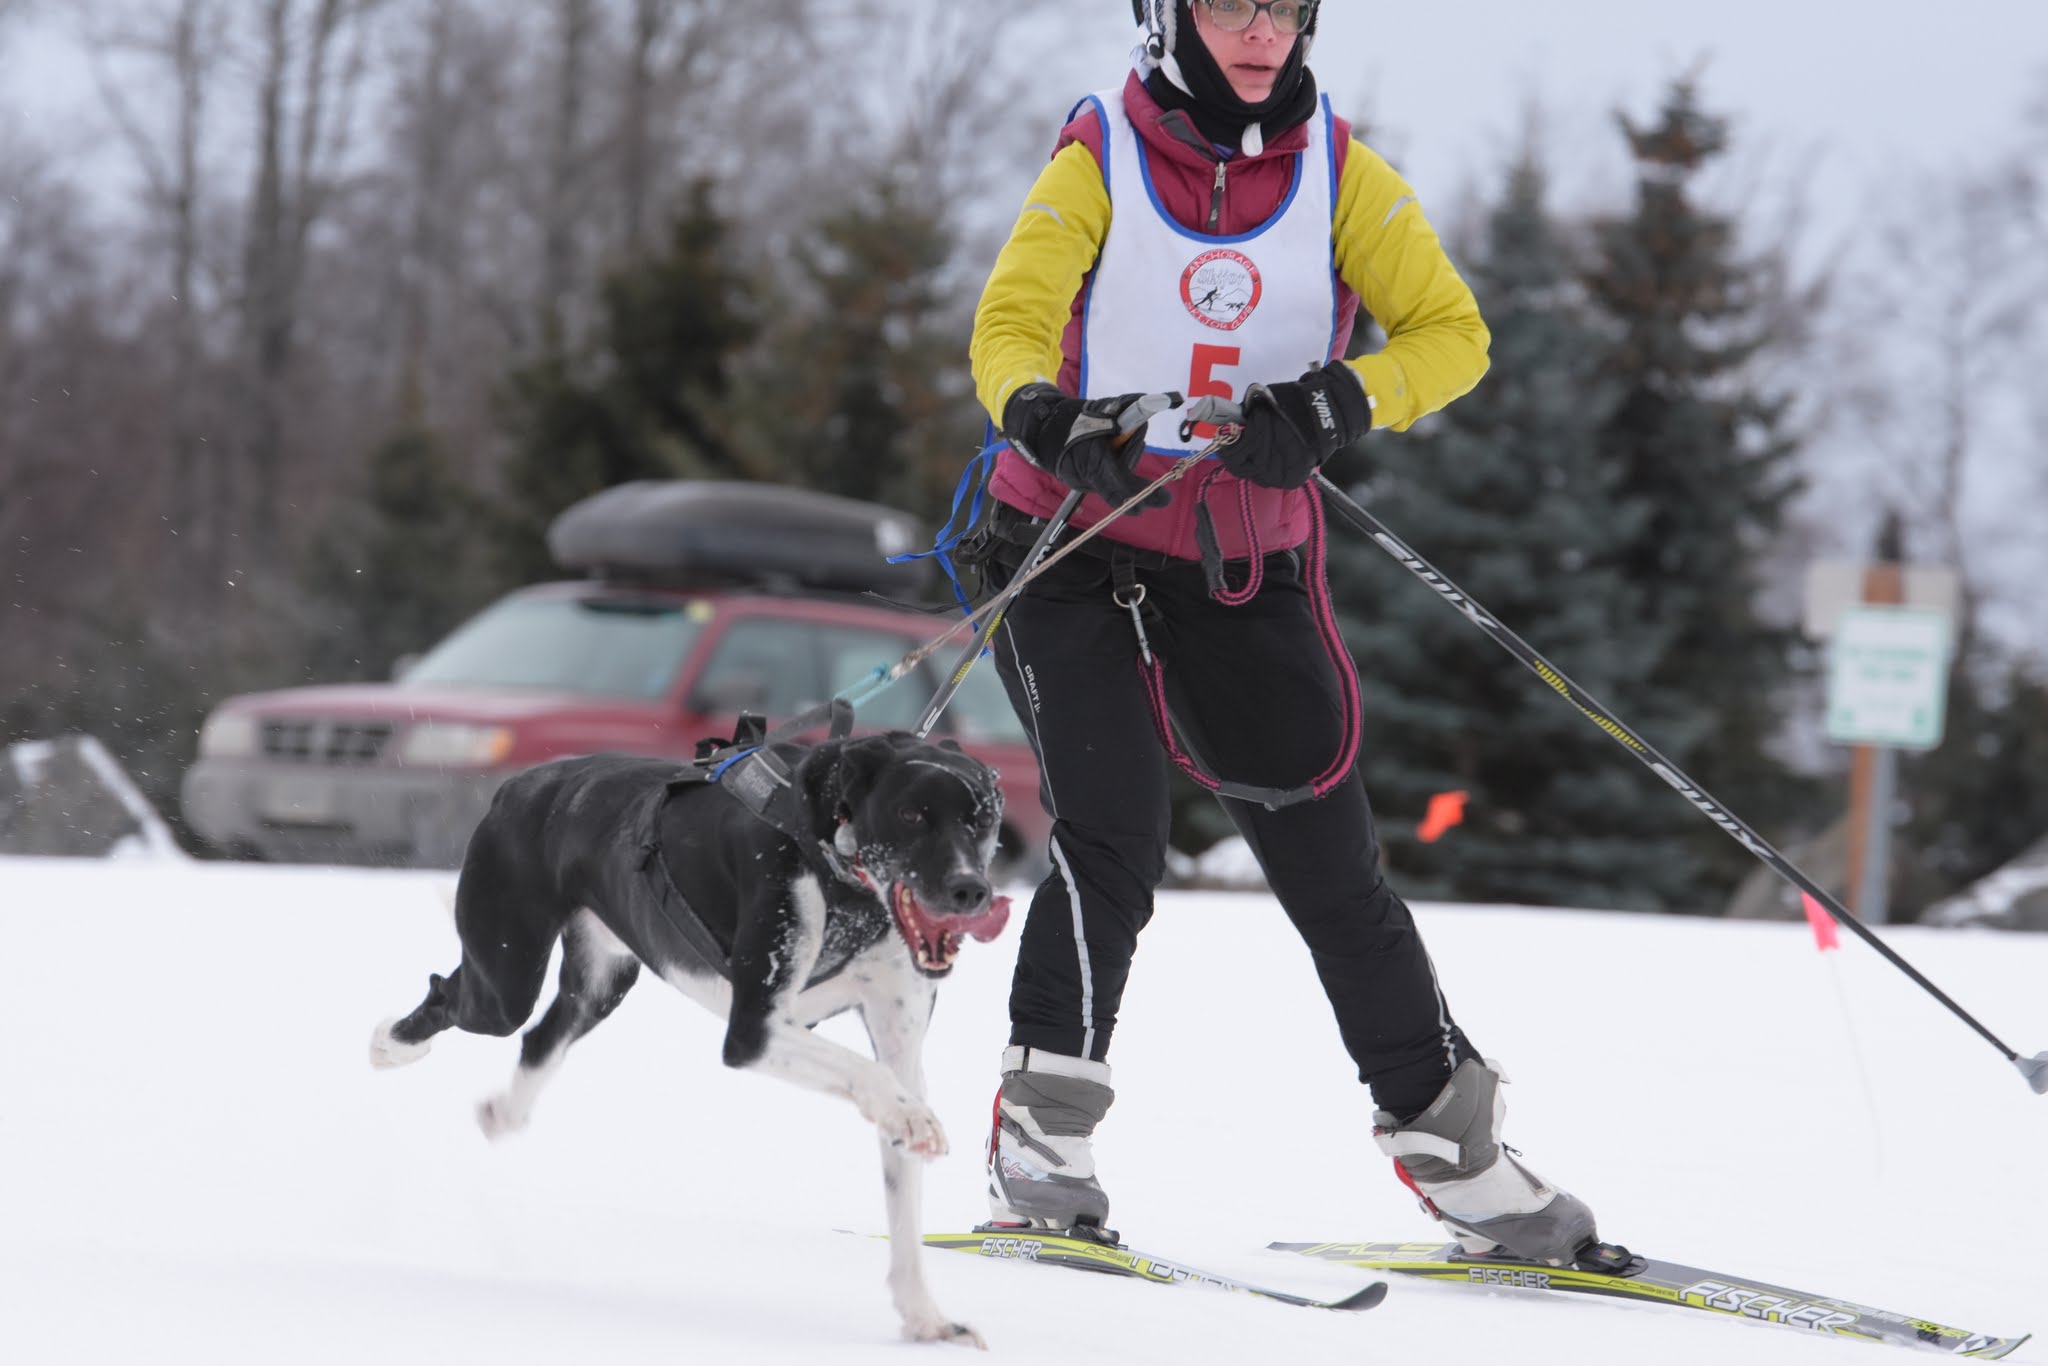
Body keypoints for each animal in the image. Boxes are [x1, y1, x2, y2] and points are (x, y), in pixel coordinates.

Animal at [372, 733, 1011, 1351]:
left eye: (982, 819)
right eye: (911, 814)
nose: (969, 891)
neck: (844, 878)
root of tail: (523, 782)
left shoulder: (897, 1039)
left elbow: (903, 1189)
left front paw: (927, 1319)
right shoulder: (754, 1031)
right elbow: (871, 1078)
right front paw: (913, 1119)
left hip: (601, 982)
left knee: (541, 1037)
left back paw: (504, 1112)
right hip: (505, 980)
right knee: (455, 995)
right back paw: (391, 1044)